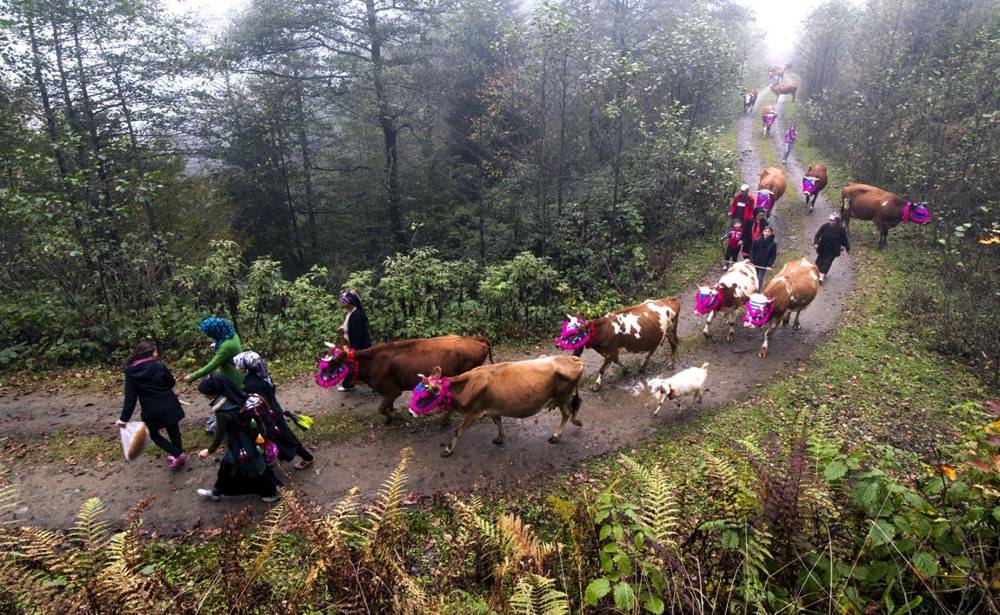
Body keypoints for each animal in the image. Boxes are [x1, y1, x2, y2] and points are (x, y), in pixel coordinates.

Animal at [320, 334, 492, 422]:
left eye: (335, 363)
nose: (322, 376)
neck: (372, 362)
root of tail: (475, 338)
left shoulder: (392, 391)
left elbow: (381, 409)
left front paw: (392, 417)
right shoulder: (388, 393)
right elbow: (387, 406)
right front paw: (393, 412)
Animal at [416, 356, 584, 458]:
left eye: (424, 395)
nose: (412, 411)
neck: (467, 385)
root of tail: (573, 359)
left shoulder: (473, 413)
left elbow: (458, 431)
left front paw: (448, 449)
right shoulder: (492, 407)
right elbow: (498, 421)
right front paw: (500, 437)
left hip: (562, 397)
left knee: (567, 412)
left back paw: (556, 435)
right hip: (564, 396)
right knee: (576, 404)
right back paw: (575, 422)